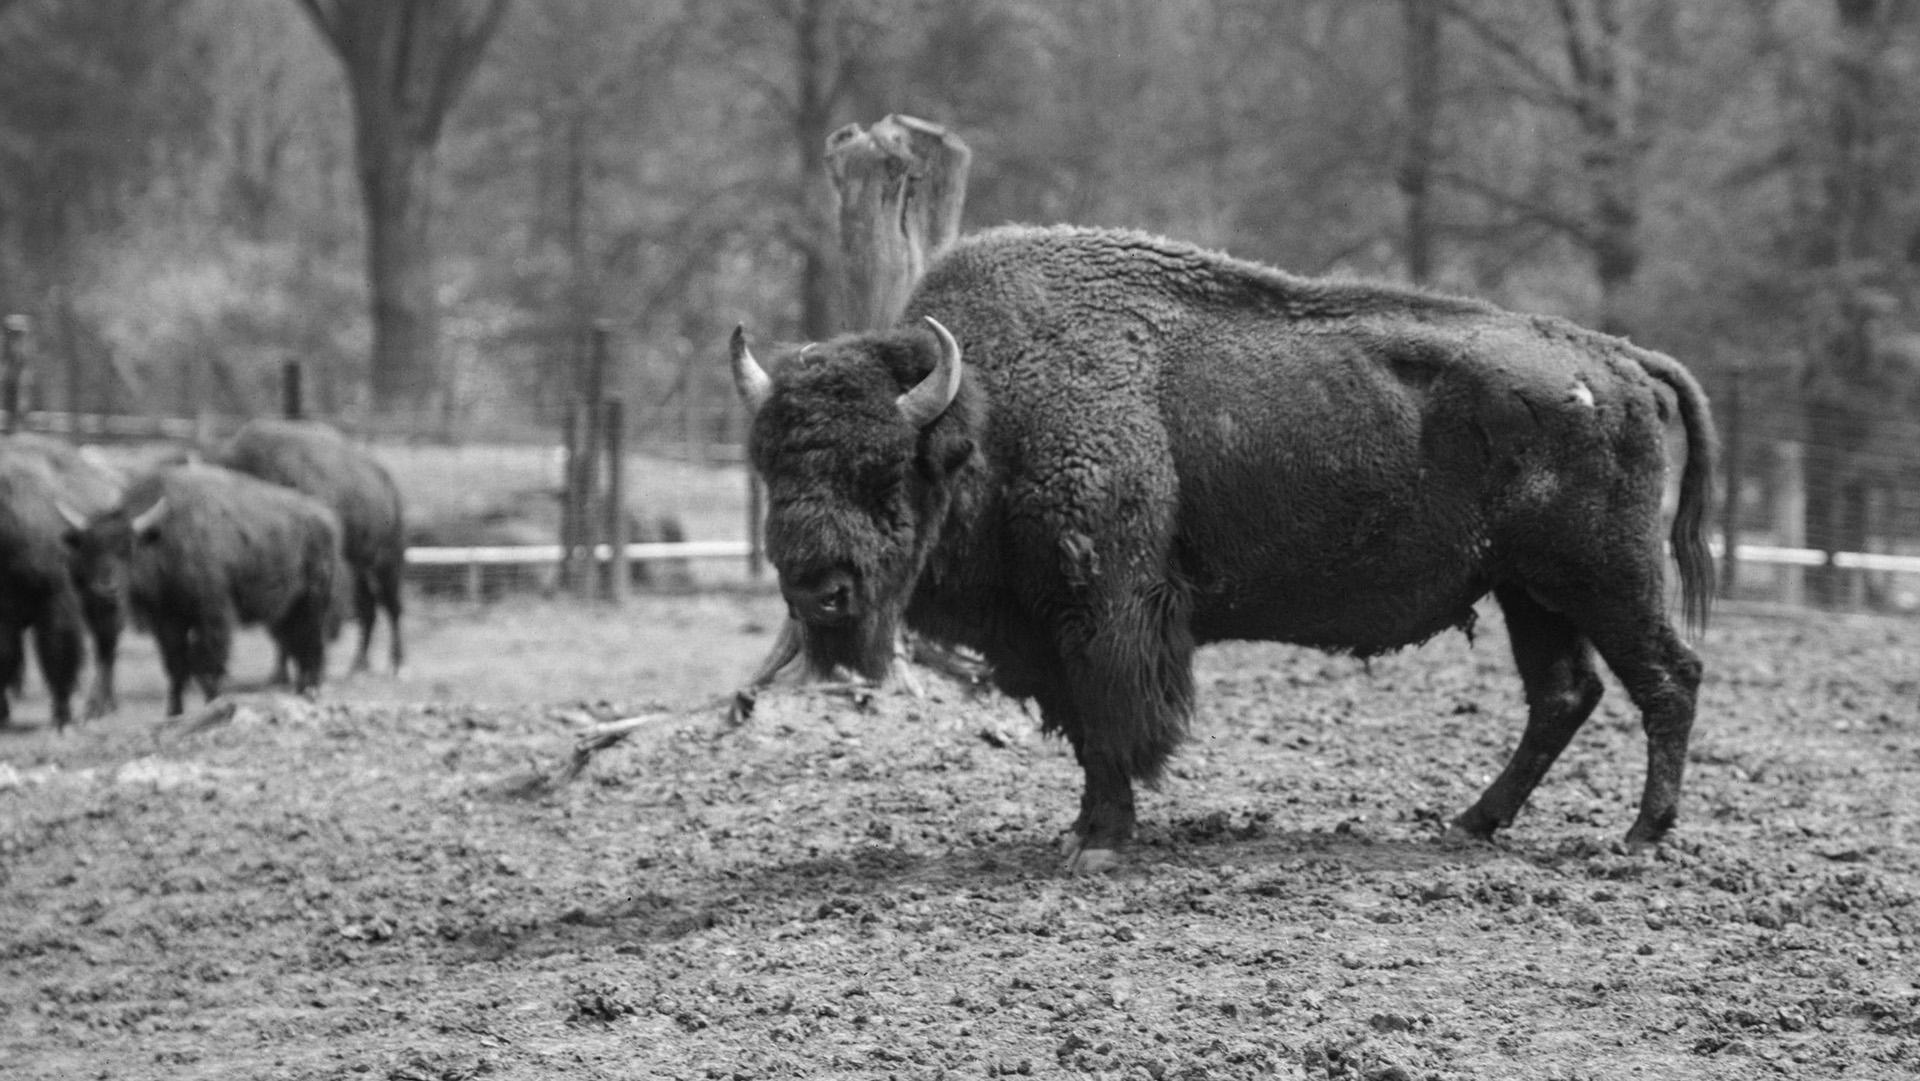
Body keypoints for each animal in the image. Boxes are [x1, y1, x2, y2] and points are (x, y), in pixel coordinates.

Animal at [0, 435, 125, 733]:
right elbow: (6, 653)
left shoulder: (57, 602)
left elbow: (58, 652)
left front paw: (62, 716)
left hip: (102, 603)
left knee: (105, 646)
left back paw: (98, 708)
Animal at [72, 460, 345, 714]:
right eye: (88, 549)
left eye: (127, 548)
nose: (104, 587)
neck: (163, 536)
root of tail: (325, 518)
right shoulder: (167, 621)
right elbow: (176, 666)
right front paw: (174, 711)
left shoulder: (212, 614)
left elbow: (208, 663)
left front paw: (214, 702)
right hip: (285, 613)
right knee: (299, 648)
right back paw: (301, 692)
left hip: (313, 605)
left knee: (312, 648)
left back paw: (311, 692)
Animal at [212, 418, 403, 672]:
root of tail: (386, 481)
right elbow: (281, 629)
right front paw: (278, 673)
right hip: (360, 569)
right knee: (369, 609)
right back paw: (358, 664)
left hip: (385, 562)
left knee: (392, 608)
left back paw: (396, 664)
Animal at [729, 224, 1712, 875]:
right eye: (770, 464)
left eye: (885, 471)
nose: (818, 591)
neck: (992, 411)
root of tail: (1617, 358)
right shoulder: (1046, 635)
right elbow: (1086, 730)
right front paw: (1083, 831)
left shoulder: (1108, 614)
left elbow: (1112, 724)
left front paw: (1098, 841)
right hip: (1529, 591)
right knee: (1565, 693)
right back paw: (1470, 822)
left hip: (1603, 578)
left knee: (1667, 675)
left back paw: (1638, 836)